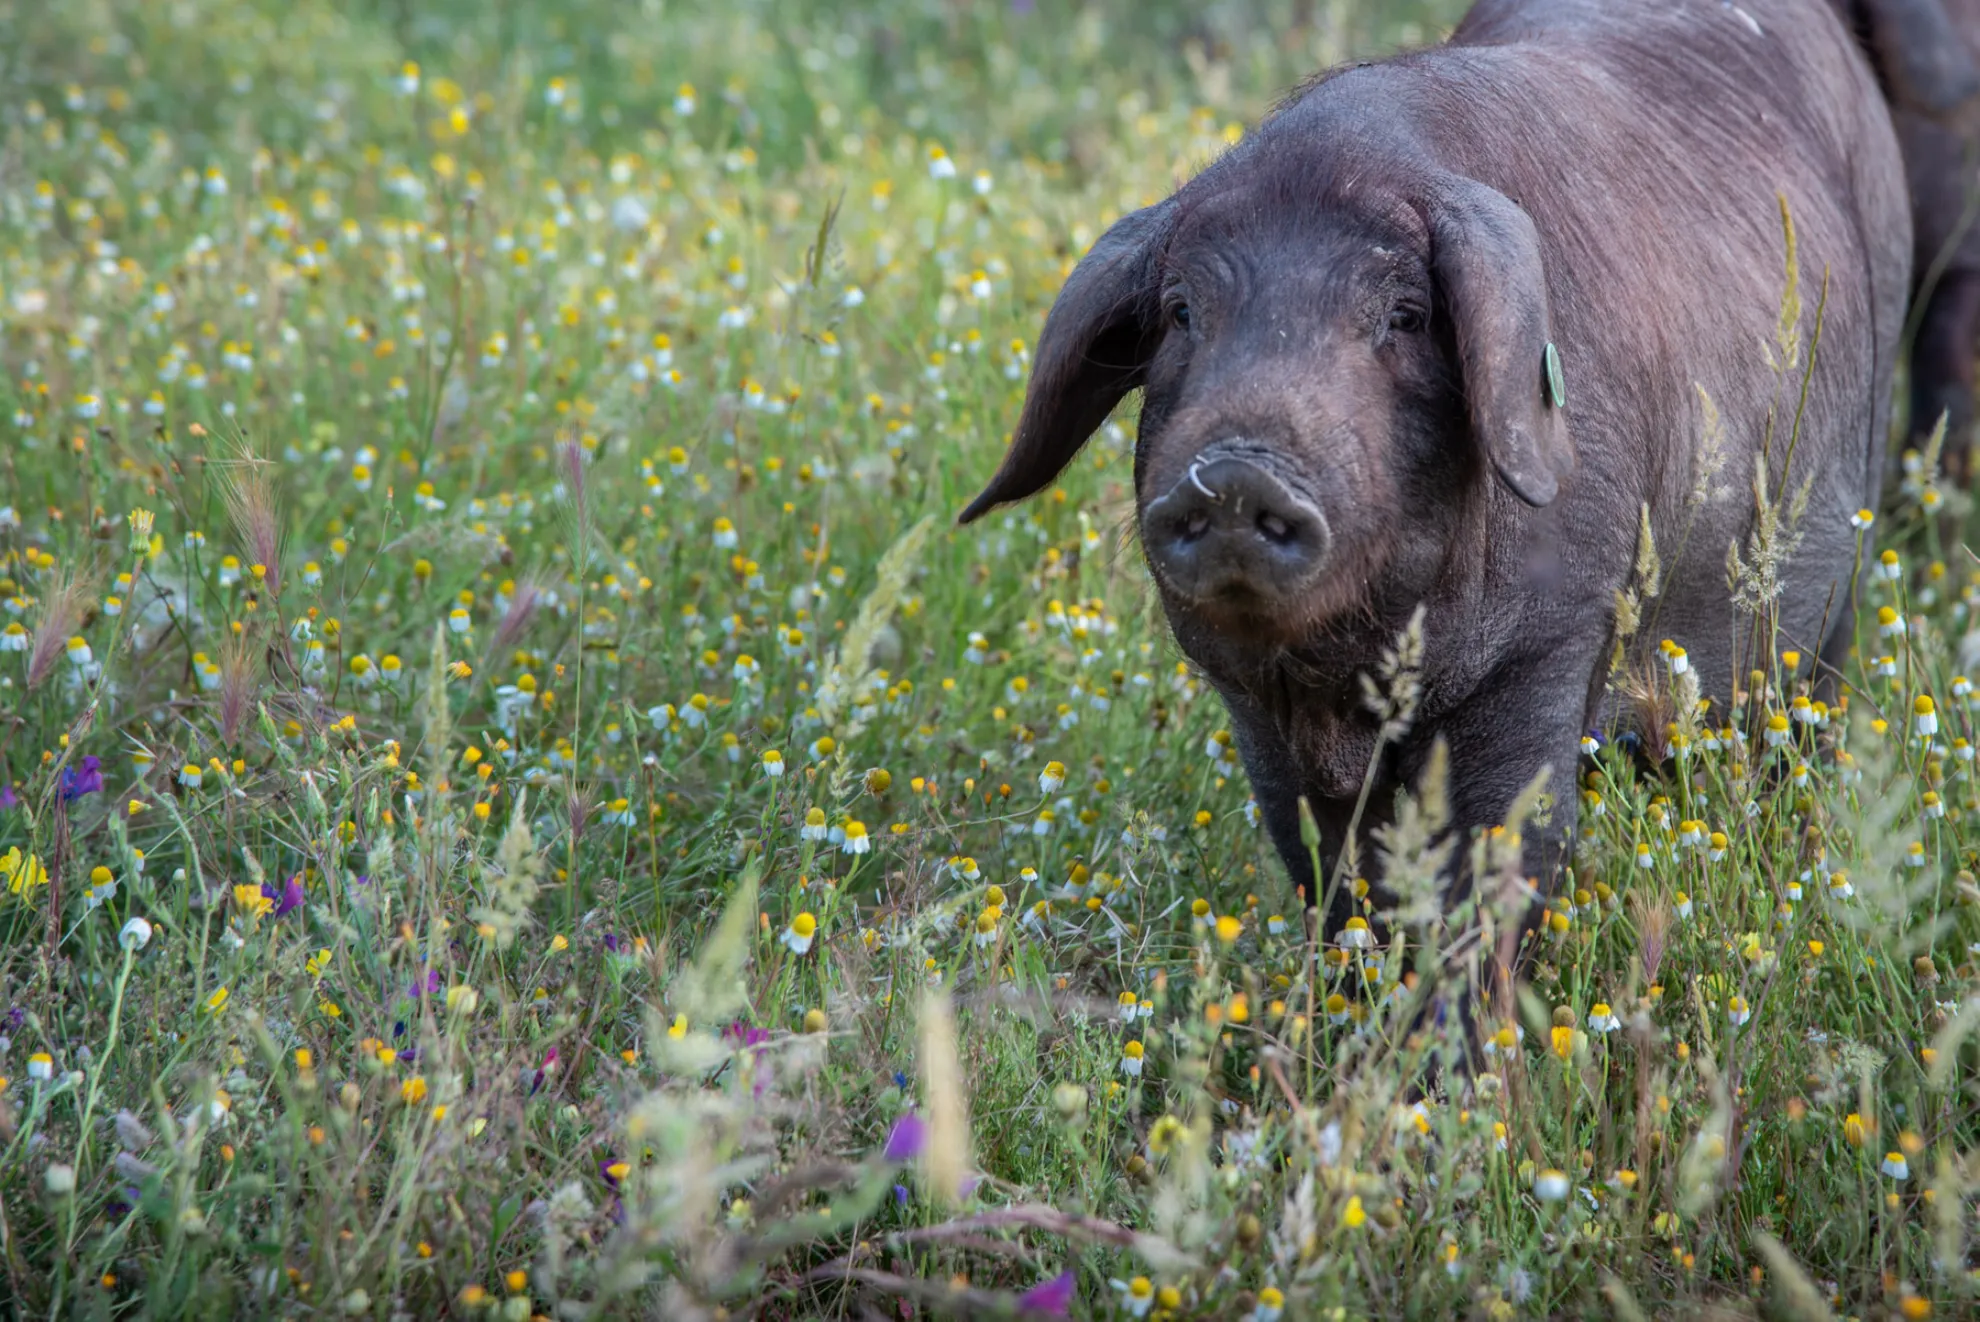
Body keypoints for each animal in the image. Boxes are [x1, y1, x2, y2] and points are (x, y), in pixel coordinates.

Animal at [960, 0, 1910, 953]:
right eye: (1182, 313)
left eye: (1406, 316)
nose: (1235, 473)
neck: (1349, 692)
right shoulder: (1251, 706)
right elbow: (1324, 869)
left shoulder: (1552, 639)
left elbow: (1501, 857)